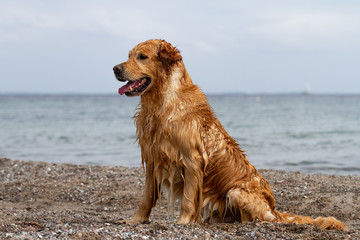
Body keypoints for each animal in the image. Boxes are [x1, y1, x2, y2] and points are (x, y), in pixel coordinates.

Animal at [114, 38, 348, 230]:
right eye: (129, 55)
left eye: (142, 56)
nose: (115, 68)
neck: (162, 102)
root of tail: (274, 207)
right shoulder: (153, 158)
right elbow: (146, 198)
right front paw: (135, 220)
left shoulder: (192, 160)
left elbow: (189, 200)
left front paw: (183, 222)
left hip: (235, 192)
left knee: (264, 219)